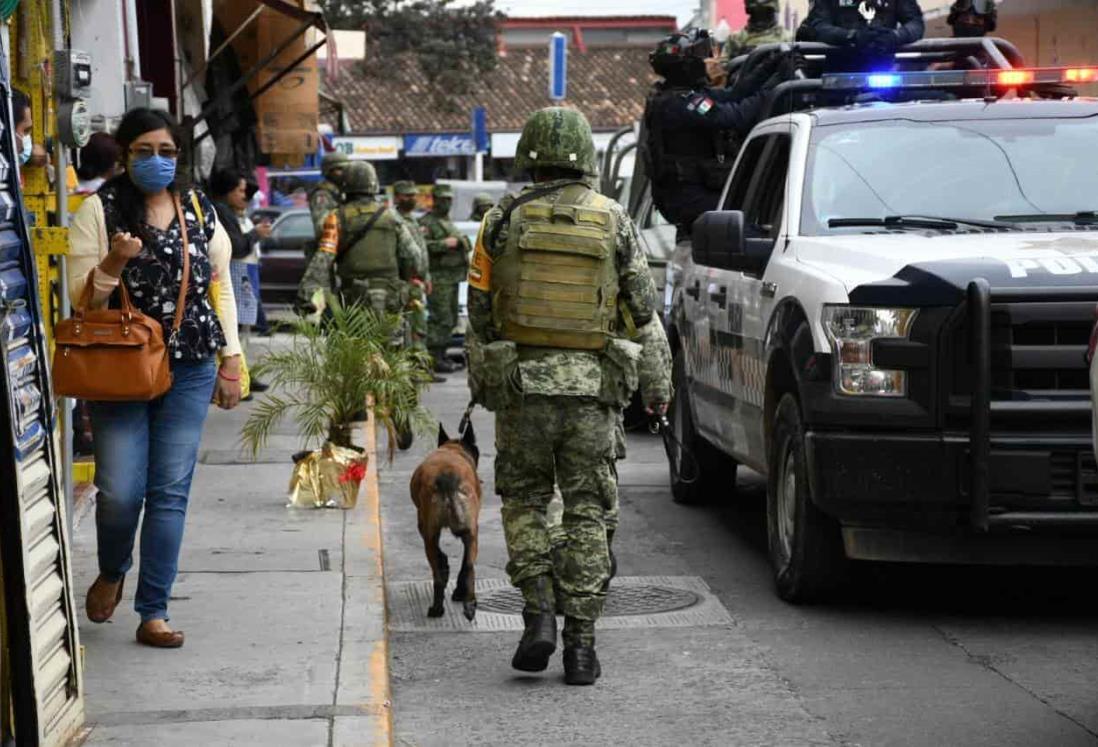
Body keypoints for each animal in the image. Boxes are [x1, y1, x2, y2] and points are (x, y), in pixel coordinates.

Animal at [412, 424, 480, 619]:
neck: (452, 449)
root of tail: (447, 476)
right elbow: (463, 561)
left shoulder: (424, 526)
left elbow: (440, 555)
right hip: (470, 534)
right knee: (468, 566)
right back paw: (468, 602)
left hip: (429, 532)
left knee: (438, 572)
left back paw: (437, 607)